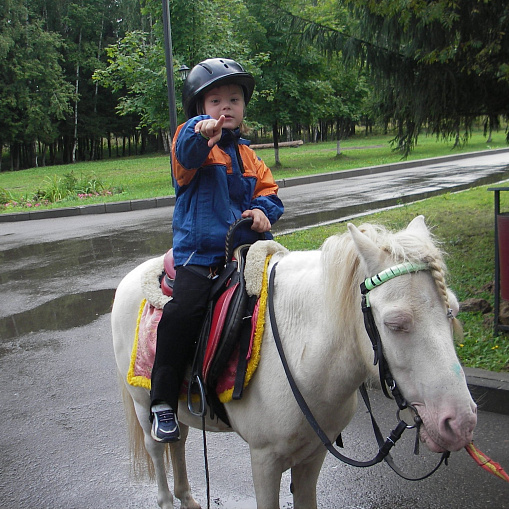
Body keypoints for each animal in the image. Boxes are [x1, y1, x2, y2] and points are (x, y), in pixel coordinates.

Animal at [111, 216, 476, 508]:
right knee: (159, 448)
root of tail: (131, 277)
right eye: (395, 323)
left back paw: (187, 497)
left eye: (453, 311)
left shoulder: (313, 455)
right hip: (144, 404)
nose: (460, 423)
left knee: (179, 443)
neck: (303, 349)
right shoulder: (264, 460)